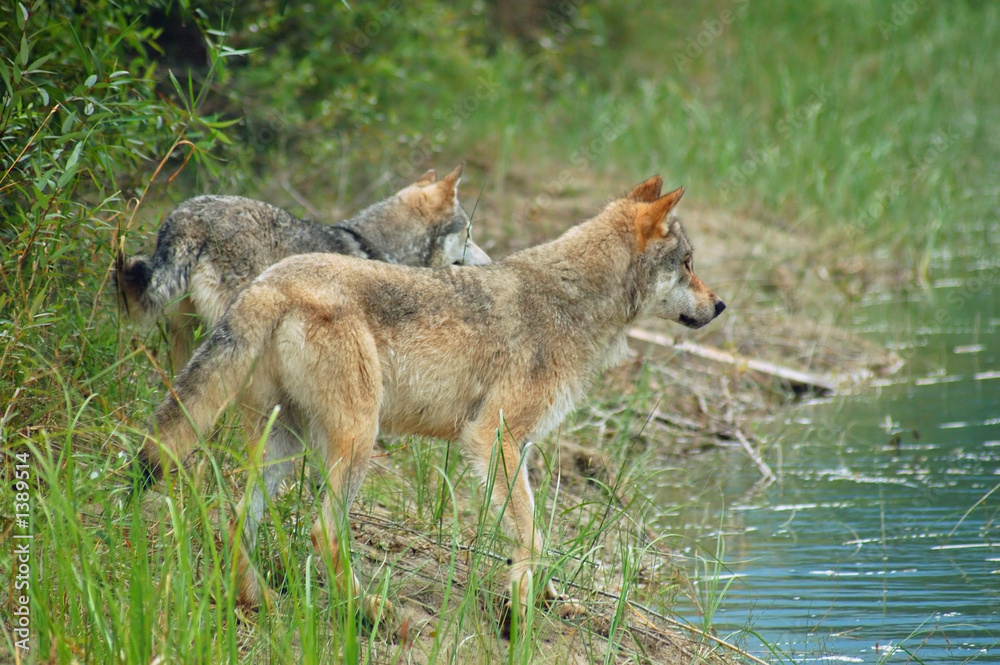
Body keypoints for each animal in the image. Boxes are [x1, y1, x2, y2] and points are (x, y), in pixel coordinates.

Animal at [133, 176, 725, 624]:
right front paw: (520, 608)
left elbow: (532, 533)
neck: (571, 304)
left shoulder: (517, 448)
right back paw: (369, 613)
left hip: (283, 445)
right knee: (325, 533)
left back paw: (256, 603)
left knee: (236, 521)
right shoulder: (493, 438)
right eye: (689, 263)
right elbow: (534, 536)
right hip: (357, 441)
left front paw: (546, 598)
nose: (720, 305)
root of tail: (269, 283)